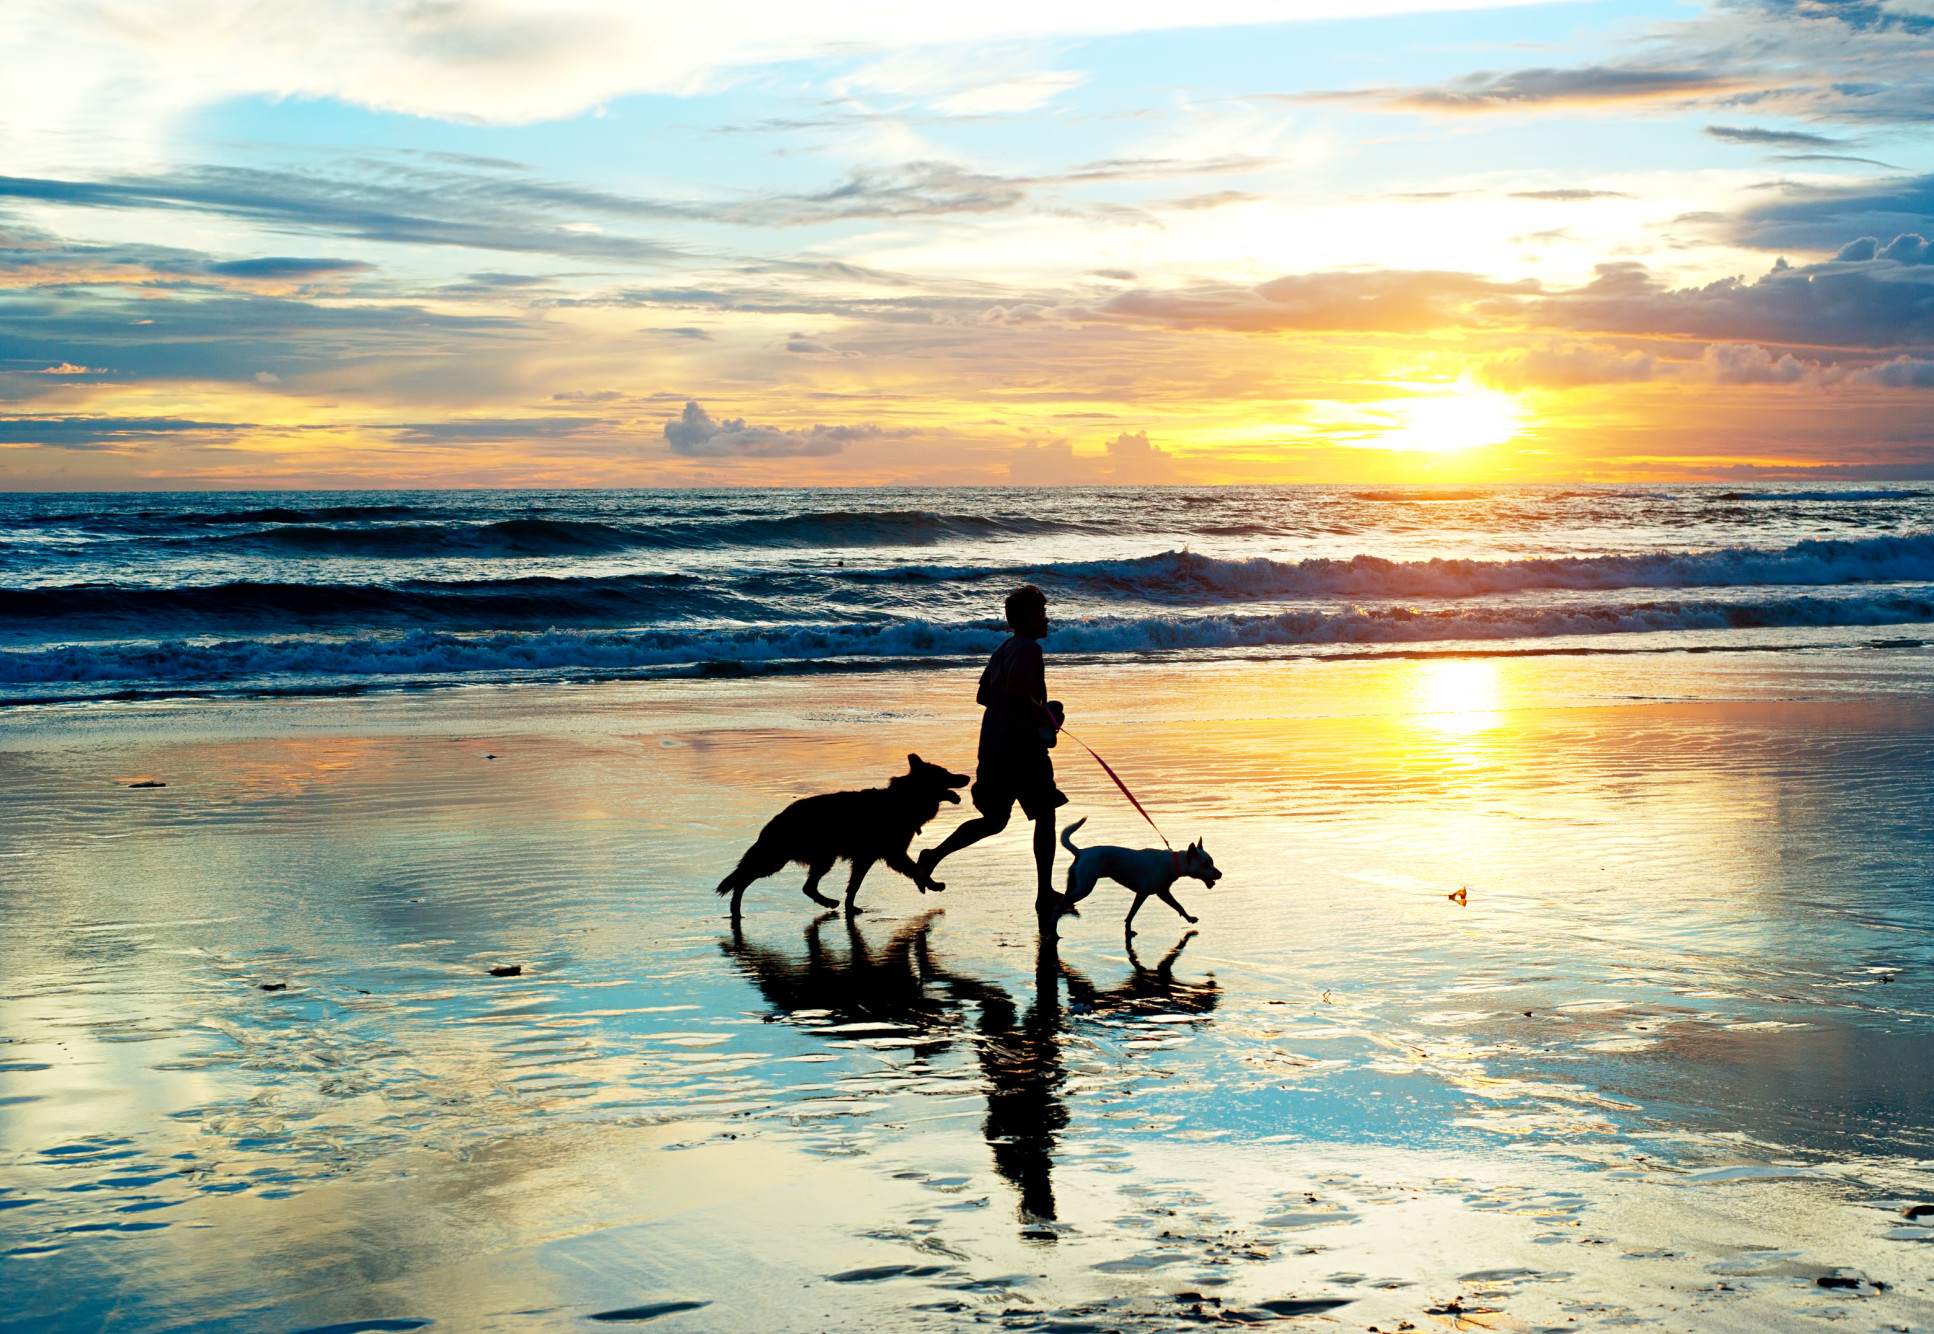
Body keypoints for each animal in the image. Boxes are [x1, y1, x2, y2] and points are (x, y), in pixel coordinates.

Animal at [719, 750, 967, 912]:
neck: (904, 801)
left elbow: (854, 886)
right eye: (945, 773)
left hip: (821, 858)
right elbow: (915, 869)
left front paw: (850, 908)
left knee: (807, 887)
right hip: (780, 859)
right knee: (743, 879)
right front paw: (931, 884)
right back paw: (735, 908)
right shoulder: (890, 855)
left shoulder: (868, 858)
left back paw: (828, 902)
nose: (967, 776)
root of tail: (777, 818)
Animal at [1059, 815, 1222, 931]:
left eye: (1212, 861)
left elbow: (1179, 906)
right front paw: (1128, 929)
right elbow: (1131, 914)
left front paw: (1189, 918)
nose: (1220, 874)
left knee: (1062, 901)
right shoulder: (1143, 893)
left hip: (1074, 885)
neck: (1174, 862)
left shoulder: (1164, 893)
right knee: (1060, 906)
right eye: (1205, 864)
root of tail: (1080, 852)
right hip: (1084, 888)